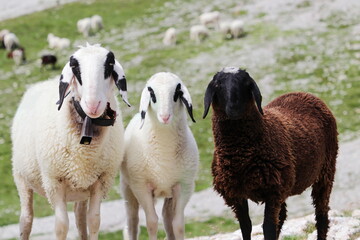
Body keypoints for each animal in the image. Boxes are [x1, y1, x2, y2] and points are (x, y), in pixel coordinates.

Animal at [11, 43, 131, 240]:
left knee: (80, 218)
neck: (85, 153)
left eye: (110, 64)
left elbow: (93, 222)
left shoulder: (100, 180)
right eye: (75, 67)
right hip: (21, 178)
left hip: (81, 189)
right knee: (26, 220)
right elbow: (61, 226)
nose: (93, 105)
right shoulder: (54, 182)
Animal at [121, 71, 200, 240]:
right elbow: (151, 222)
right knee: (132, 222)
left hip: (169, 192)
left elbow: (178, 224)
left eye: (177, 93)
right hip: (128, 189)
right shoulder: (141, 187)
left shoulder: (184, 186)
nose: (165, 117)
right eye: (152, 93)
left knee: (167, 217)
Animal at [202, 67, 338, 240]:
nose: (234, 108)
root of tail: (304, 93)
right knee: (283, 215)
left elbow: (268, 227)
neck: (241, 158)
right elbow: (246, 226)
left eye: (246, 83)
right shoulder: (236, 194)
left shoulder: (272, 192)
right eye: (218, 84)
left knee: (321, 214)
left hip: (326, 170)